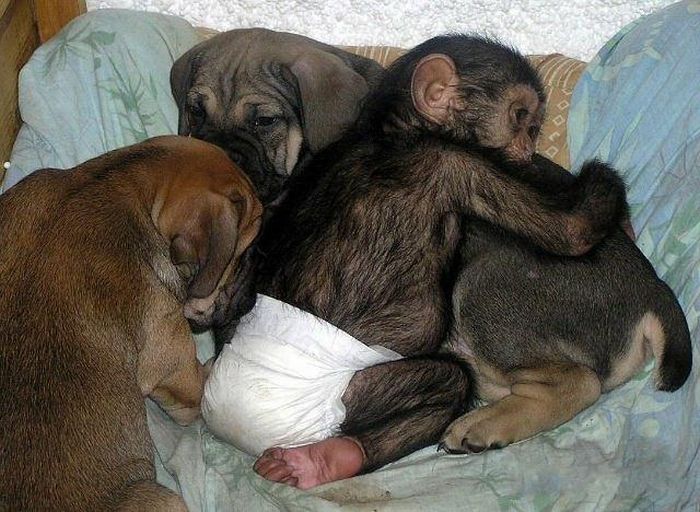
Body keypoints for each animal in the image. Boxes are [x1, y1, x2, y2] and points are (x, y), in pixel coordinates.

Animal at [0, 136, 262, 512]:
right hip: (165, 498)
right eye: (241, 253)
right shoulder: (176, 370)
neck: (112, 181)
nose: (251, 298)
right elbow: (199, 387)